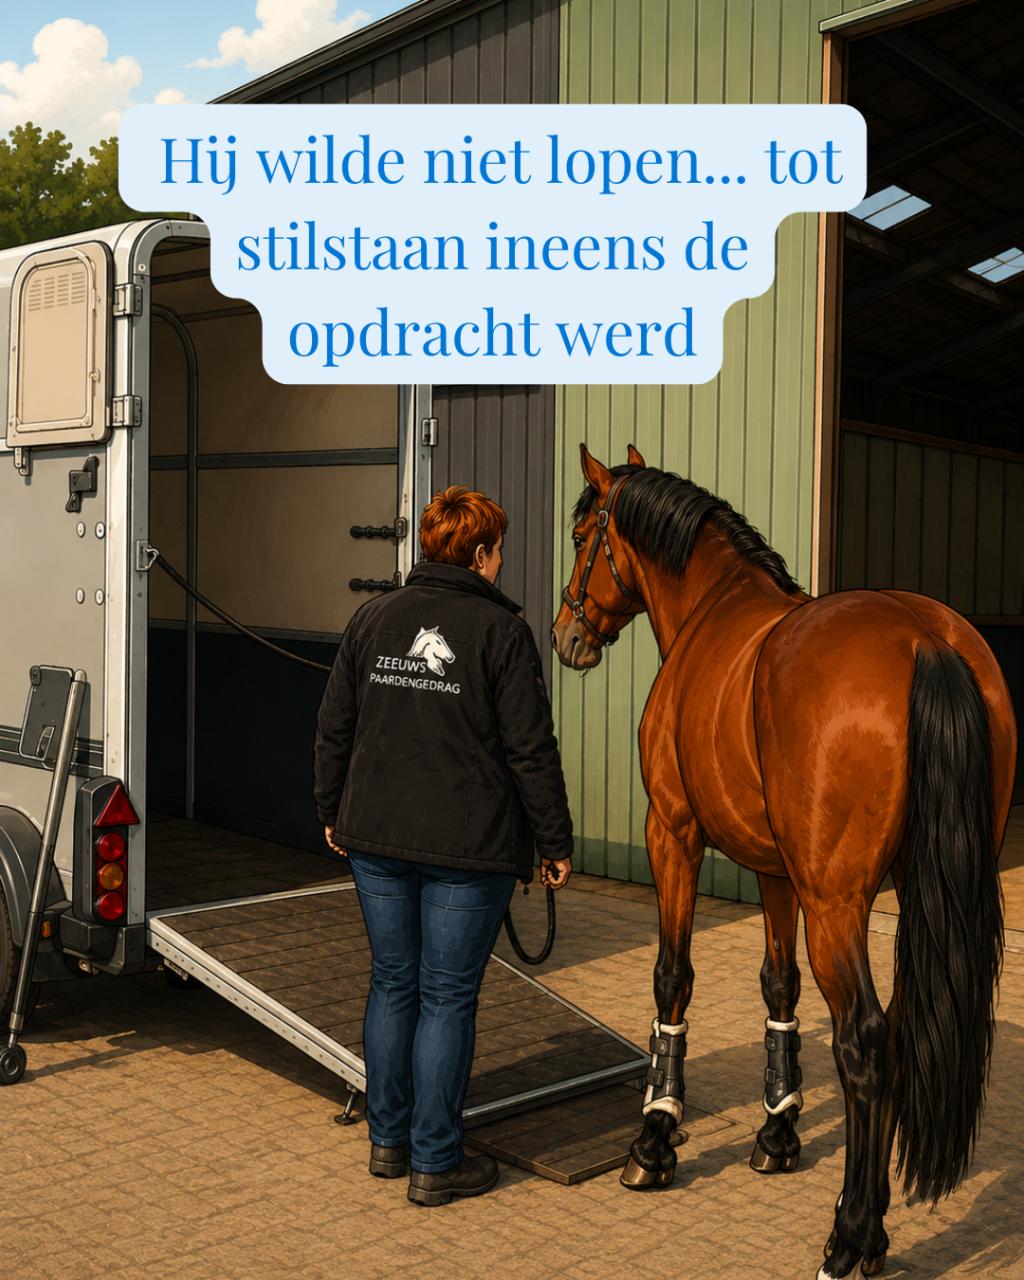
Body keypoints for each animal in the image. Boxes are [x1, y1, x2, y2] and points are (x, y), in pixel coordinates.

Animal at [551, 444, 1015, 1279]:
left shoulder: (673, 832)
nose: (565, 635)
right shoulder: (776, 872)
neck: (712, 612)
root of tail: (925, 640)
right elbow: (779, 985)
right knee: (898, 1030)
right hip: (920, 894)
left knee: (866, 1041)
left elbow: (672, 977)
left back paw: (851, 1236)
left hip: (837, 904)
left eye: (581, 535)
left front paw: (654, 1139)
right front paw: (778, 1133)